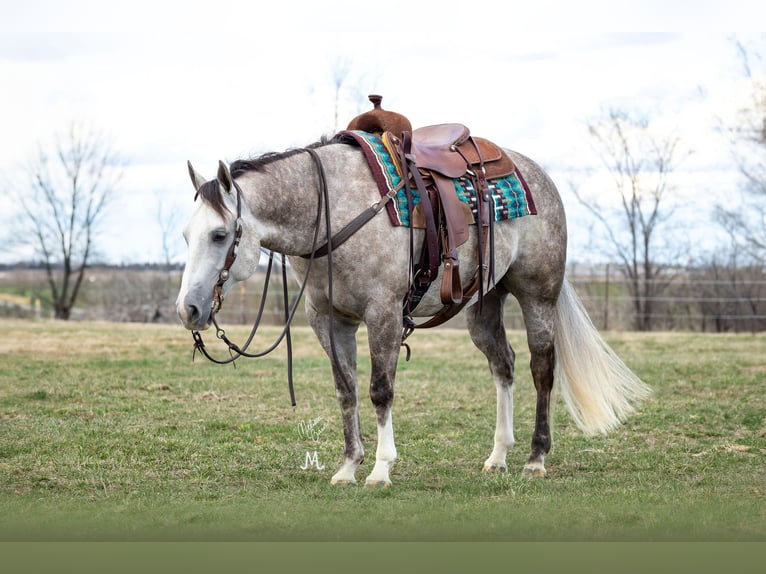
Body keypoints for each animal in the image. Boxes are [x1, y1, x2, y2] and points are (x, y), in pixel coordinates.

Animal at [177, 142, 652, 488]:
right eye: (185, 234)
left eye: (219, 234)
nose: (188, 308)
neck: (333, 213)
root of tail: (538, 175)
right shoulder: (327, 319)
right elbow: (346, 390)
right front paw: (348, 467)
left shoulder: (383, 313)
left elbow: (379, 390)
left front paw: (380, 469)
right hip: (485, 304)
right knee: (504, 365)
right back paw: (498, 456)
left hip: (538, 294)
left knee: (542, 367)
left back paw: (536, 457)